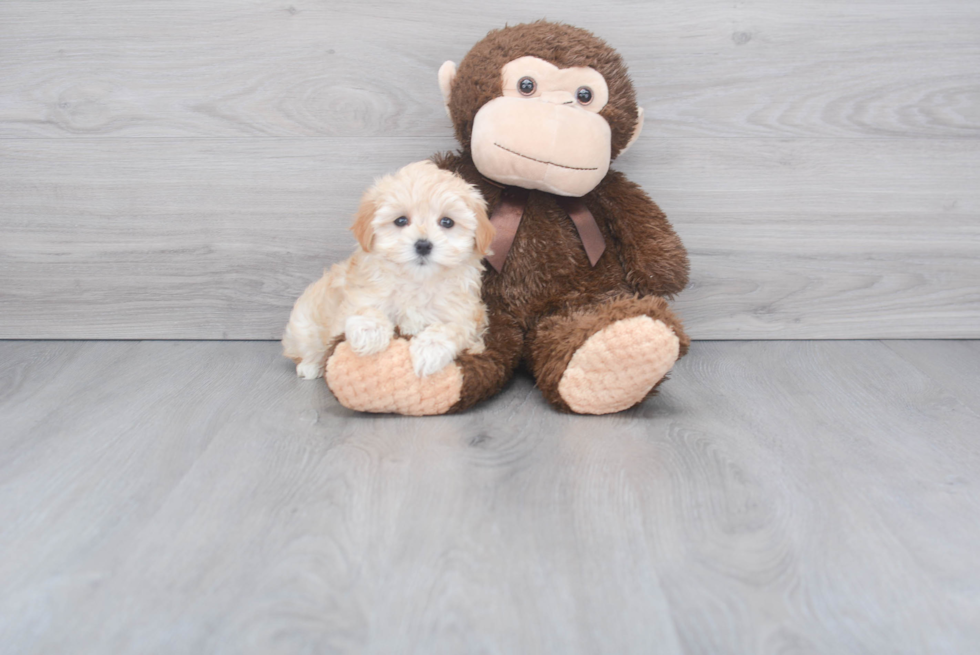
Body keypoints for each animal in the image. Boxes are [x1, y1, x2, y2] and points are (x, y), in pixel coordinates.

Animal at [284, 160, 498, 382]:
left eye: (447, 222)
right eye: (401, 221)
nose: (423, 245)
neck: (417, 283)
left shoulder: (468, 316)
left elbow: (451, 329)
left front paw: (428, 350)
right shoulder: (356, 299)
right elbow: (364, 310)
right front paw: (369, 332)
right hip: (304, 322)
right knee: (307, 346)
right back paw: (310, 366)